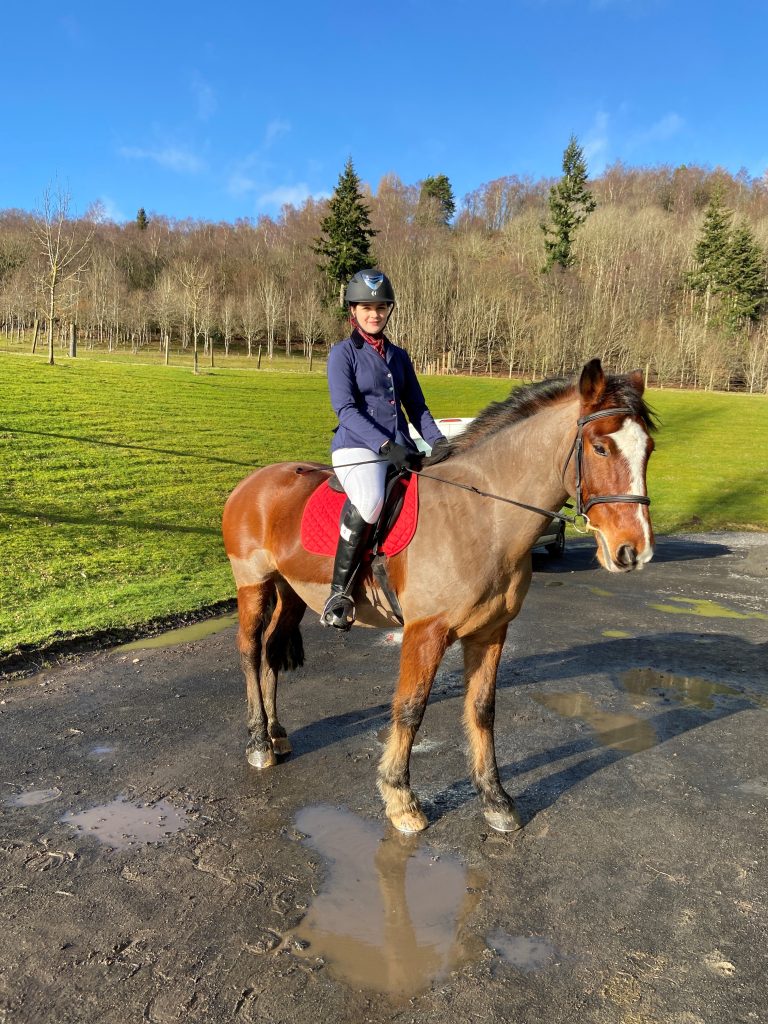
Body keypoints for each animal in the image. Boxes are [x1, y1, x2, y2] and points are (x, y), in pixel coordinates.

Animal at [221, 360, 655, 831]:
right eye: (600, 448)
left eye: (649, 449)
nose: (634, 550)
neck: (483, 517)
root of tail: (255, 481)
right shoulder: (424, 633)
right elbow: (411, 709)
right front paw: (400, 798)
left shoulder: (491, 632)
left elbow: (482, 709)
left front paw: (495, 799)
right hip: (253, 586)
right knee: (249, 650)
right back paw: (258, 743)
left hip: (291, 592)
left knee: (271, 650)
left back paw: (276, 734)